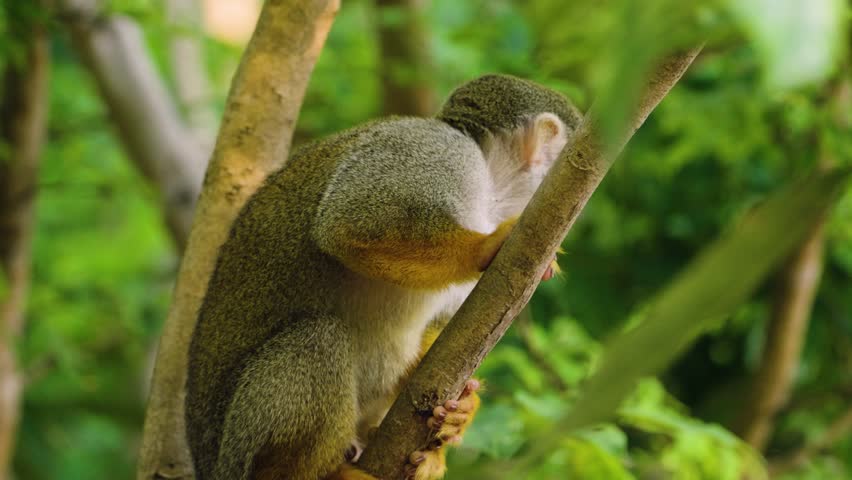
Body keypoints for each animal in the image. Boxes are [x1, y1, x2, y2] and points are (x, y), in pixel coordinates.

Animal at [185, 74, 582, 480]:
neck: (492, 186)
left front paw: (458, 414)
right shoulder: (440, 153)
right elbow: (345, 225)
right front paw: (483, 247)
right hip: (241, 445)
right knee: (318, 340)